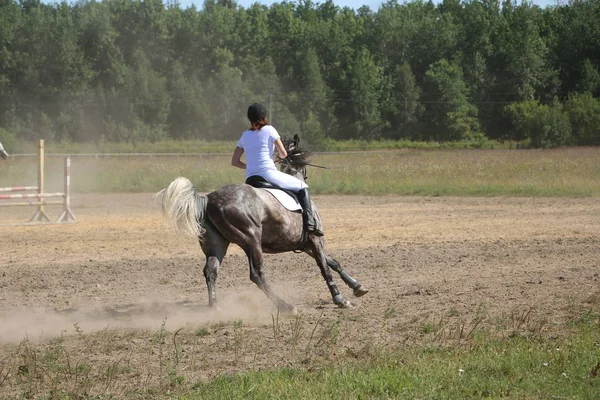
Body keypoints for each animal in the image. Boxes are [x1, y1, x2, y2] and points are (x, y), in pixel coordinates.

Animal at [156, 136, 366, 310]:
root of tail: (209, 199)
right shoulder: (315, 240)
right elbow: (325, 268)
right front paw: (340, 299)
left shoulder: (305, 244)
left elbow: (333, 262)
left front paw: (357, 286)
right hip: (252, 241)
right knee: (257, 274)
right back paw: (285, 306)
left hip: (216, 244)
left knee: (211, 271)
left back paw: (215, 307)